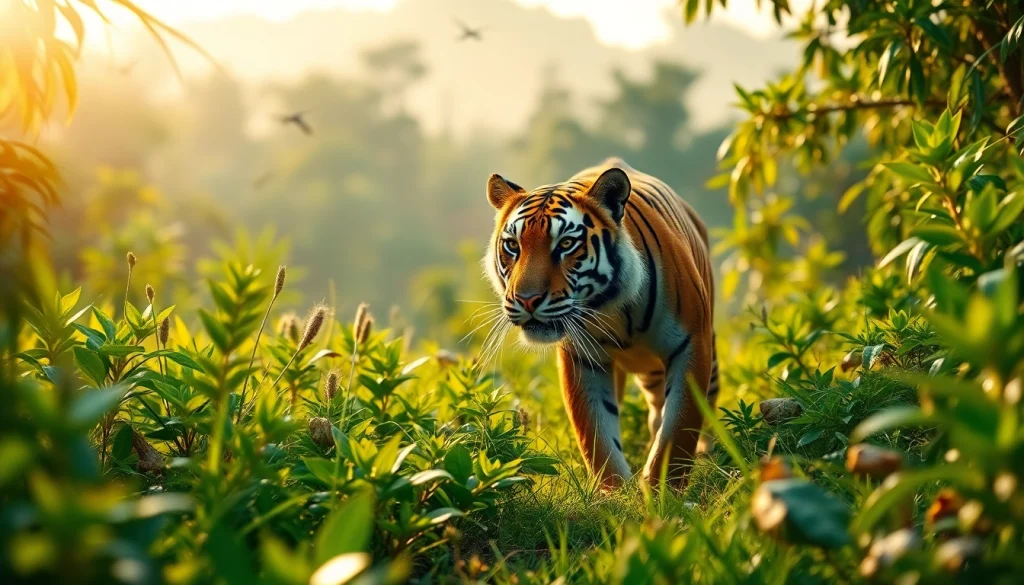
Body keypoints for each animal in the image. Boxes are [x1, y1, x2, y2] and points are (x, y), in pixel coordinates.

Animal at [483, 158, 718, 489]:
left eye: (566, 244)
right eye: (513, 246)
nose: (527, 300)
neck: (611, 308)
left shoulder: (691, 344)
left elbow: (679, 428)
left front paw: (664, 490)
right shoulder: (584, 359)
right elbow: (597, 434)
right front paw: (616, 493)